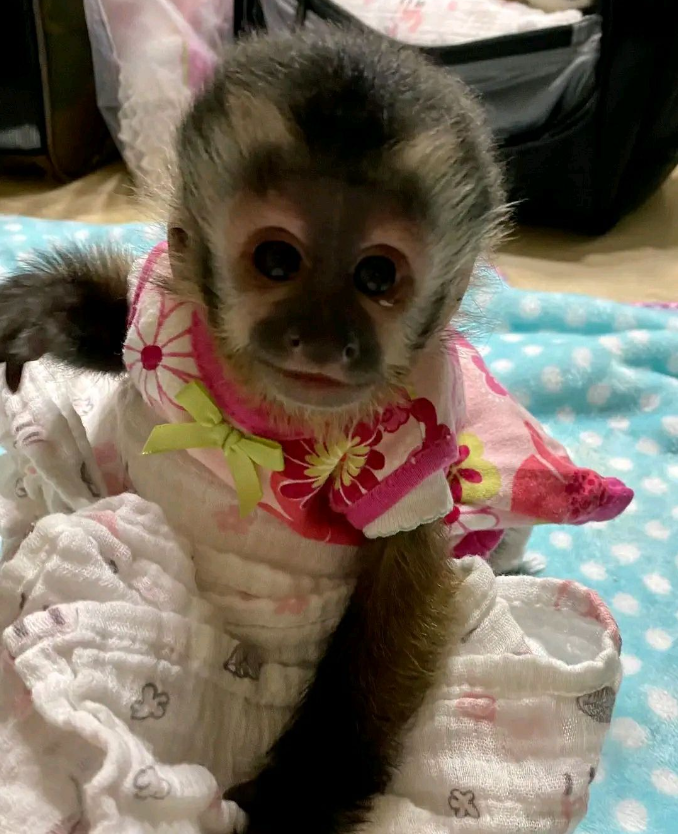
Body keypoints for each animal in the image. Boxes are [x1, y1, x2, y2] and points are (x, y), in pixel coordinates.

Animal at [0, 28, 505, 834]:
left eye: (376, 276)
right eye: (277, 260)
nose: (322, 340)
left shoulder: (415, 446)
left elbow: (405, 590)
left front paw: (297, 796)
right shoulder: (162, 319)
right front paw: (51, 309)